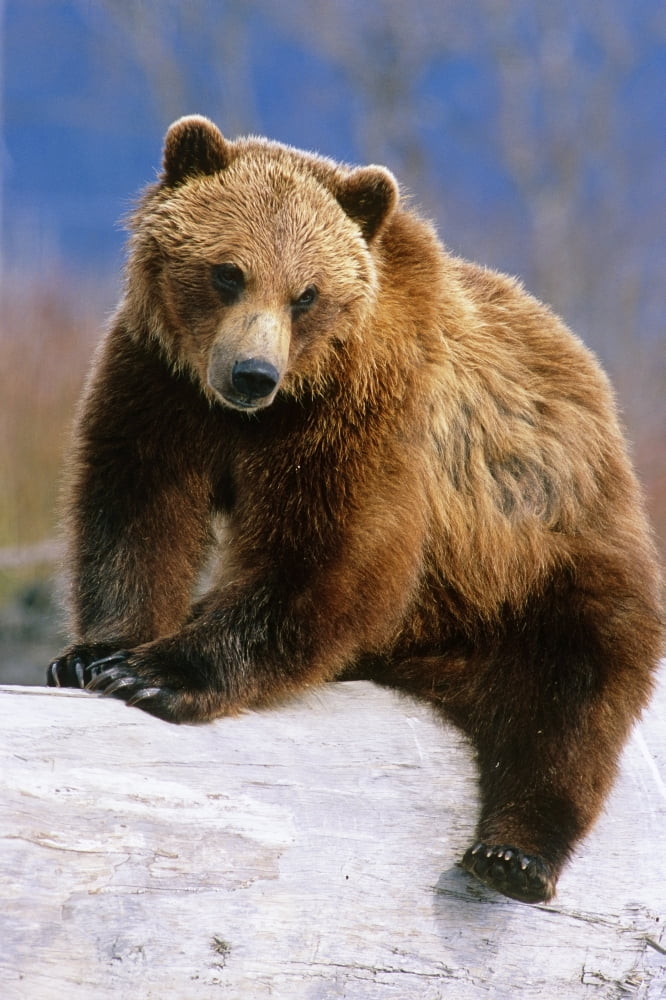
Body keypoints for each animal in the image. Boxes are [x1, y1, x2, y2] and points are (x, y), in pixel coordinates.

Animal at [48, 114, 663, 904]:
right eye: (227, 272)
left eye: (306, 294)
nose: (252, 374)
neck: (262, 416)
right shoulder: (161, 382)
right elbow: (135, 508)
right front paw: (96, 652)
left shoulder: (364, 412)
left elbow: (333, 556)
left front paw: (156, 672)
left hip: (548, 553)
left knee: (571, 698)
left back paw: (513, 854)